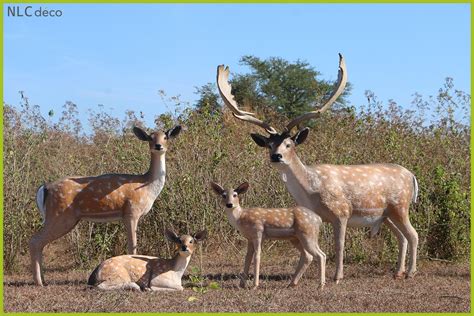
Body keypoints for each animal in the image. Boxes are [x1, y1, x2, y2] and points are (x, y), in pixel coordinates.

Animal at [29, 124, 181, 286]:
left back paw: (43, 279)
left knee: (39, 243)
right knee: (35, 241)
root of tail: (45, 188)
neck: (147, 187)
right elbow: (132, 245)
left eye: (165, 137)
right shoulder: (131, 211)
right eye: (150, 138)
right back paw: (39, 282)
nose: (158, 146)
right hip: (60, 215)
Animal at [217, 53, 420, 282]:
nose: (276, 156)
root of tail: (412, 176)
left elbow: (339, 244)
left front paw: (337, 277)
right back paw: (398, 271)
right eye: (269, 144)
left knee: (413, 234)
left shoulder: (342, 212)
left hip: (400, 205)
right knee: (402, 236)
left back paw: (411, 272)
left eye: (289, 144)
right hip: (386, 215)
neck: (312, 190)